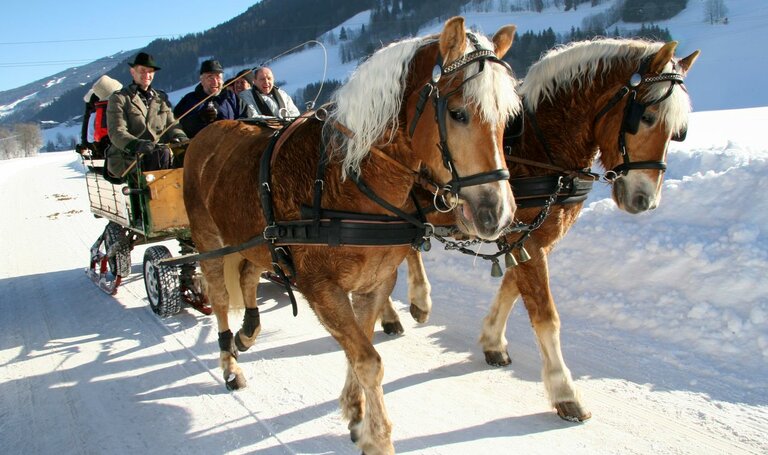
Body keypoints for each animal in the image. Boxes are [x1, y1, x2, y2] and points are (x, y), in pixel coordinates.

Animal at [182, 17, 521, 454]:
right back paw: (229, 363)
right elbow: (367, 360)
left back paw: (248, 333)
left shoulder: (375, 282)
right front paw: (377, 437)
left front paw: (355, 410)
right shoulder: (321, 288)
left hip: (257, 240)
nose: (497, 213)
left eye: (508, 117)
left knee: (247, 275)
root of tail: (207, 132)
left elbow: (358, 348)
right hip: (209, 241)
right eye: (458, 113)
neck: (348, 179)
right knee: (222, 297)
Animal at [380, 38, 700, 422]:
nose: (645, 199)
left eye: (679, 132)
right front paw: (565, 391)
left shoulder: (531, 237)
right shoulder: (524, 237)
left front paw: (492, 341)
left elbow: (512, 287)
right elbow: (545, 314)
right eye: (647, 117)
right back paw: (407, 305)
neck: (540, 145)